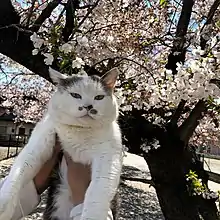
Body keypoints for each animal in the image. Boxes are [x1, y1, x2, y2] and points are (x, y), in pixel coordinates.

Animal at [0, 67, 123, 220]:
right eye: (75, 95)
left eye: (99, 97)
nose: (88, 106)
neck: (79, 131)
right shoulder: (43, 137)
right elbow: (19, 171)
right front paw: (4, 207)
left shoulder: (108, 155)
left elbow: (98, 190)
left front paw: (92, 215)